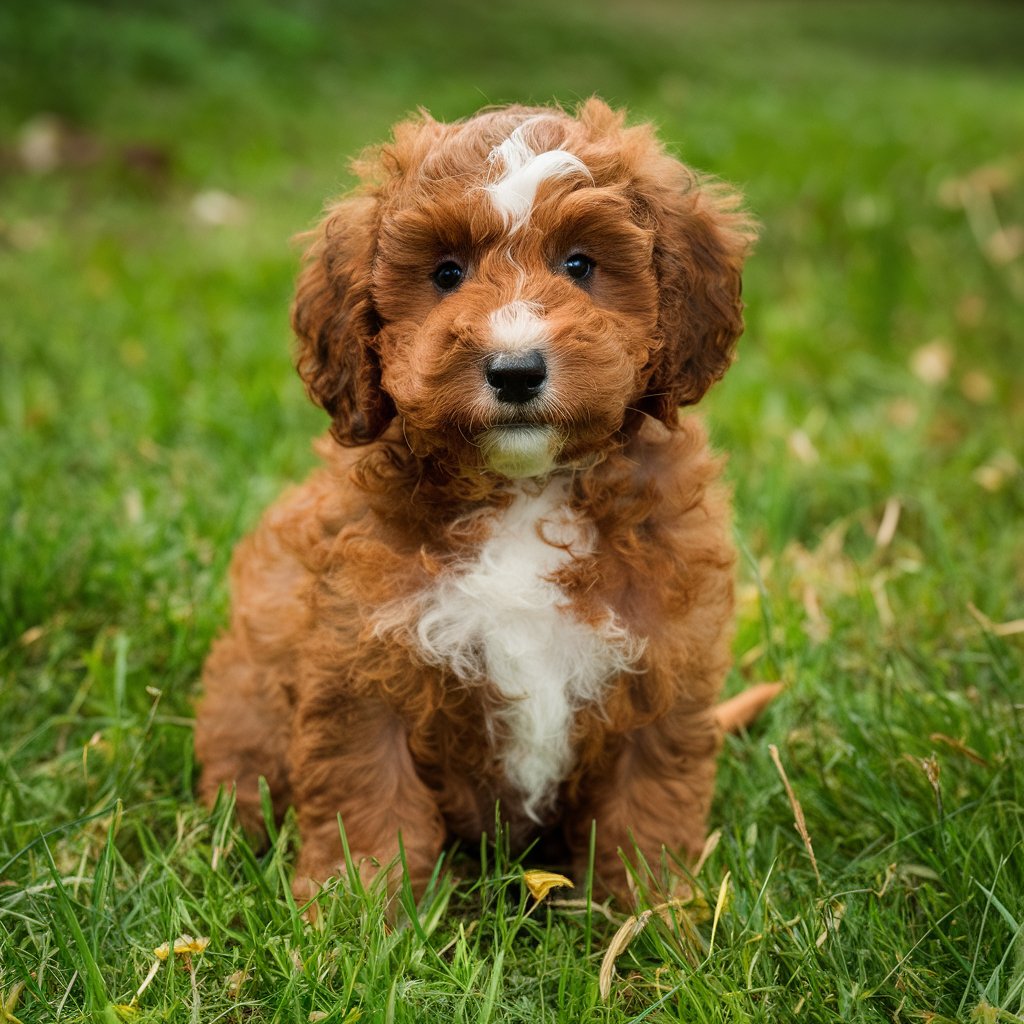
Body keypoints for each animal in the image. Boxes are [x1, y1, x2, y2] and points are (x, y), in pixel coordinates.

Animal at [195, 99, 761, 905]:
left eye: (580, 265)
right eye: (446, 273)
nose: (515, 369)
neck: (524, 489)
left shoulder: (661, 668)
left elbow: (647, 806)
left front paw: (657, 914)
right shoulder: (359, 664)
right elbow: (370, 801)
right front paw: (356, 914)